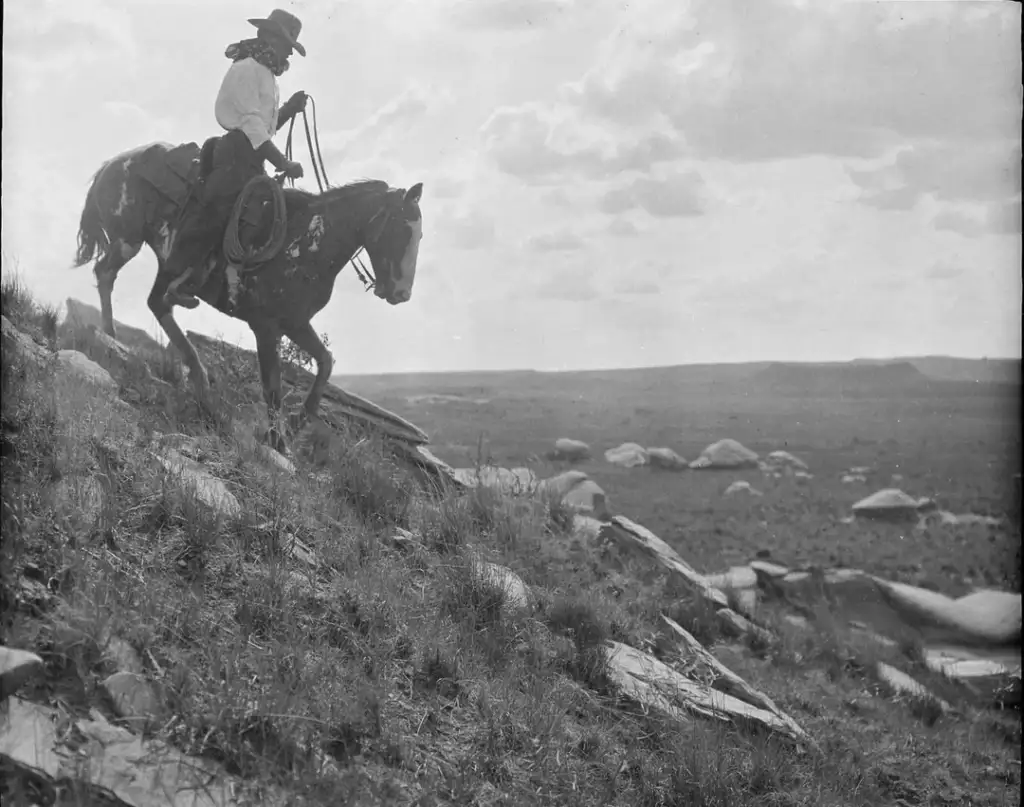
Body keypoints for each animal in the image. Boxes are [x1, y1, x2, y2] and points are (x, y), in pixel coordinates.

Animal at [74, 139, 421, 454]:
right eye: (402, 229)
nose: (401, 293)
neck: (307, 241)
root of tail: (112, 164)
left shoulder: (295, 322)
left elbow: (325, 361)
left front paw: (297, 422)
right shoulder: (266, 326)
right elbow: (273, 385)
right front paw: (277, 439)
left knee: (150, 299)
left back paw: (191, 371)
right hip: (129, 241)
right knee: (115, 280)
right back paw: (119, 339)